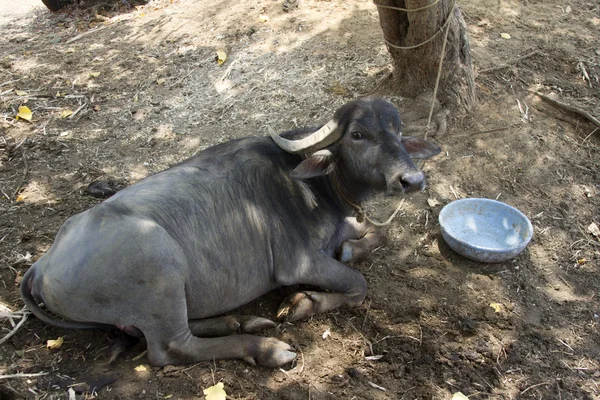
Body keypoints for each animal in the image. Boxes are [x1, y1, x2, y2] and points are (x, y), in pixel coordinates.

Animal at [21, 97, 440, 366]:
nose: (412, 179)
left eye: (398, 131)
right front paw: (303, 303)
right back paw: (267, 348)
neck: (315, 187)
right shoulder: (298, 263)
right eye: (358, 134)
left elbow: (378, 233)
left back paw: (240, 320)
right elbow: (357, 285)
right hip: (161, 272)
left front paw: (351, 248)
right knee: (170, 348)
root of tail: (42, 266)